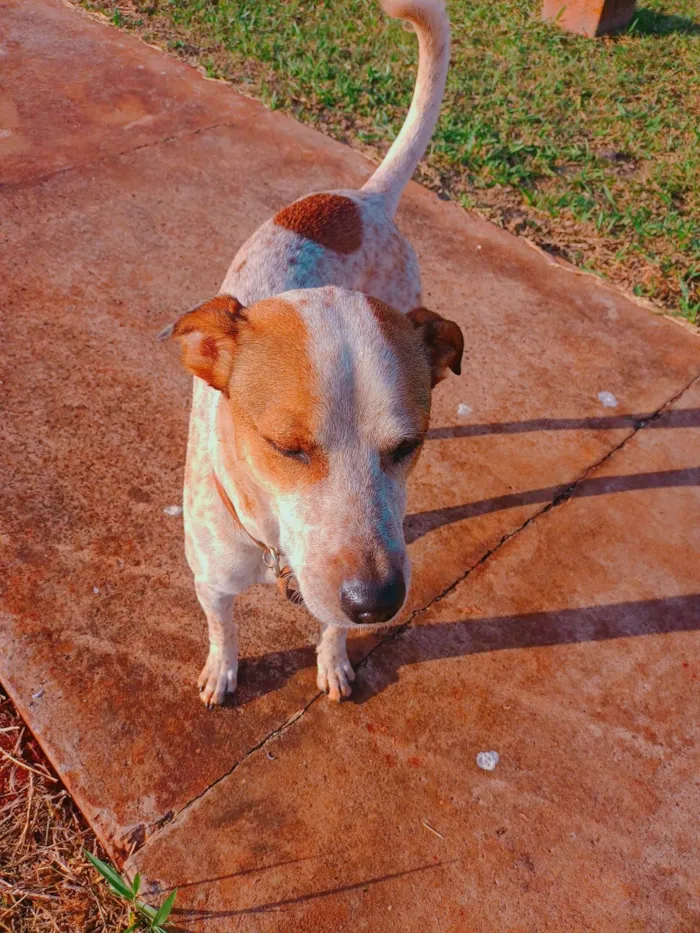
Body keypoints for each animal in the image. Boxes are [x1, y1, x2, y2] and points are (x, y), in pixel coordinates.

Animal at [161, 0, 462, 704]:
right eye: (285, 448)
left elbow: (330, 628)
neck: (270, 543)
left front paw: (334, 663)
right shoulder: (211, 581)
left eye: (408, 446)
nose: (379, 601)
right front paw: (222, 672)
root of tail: (364, 197)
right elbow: (224, 629)